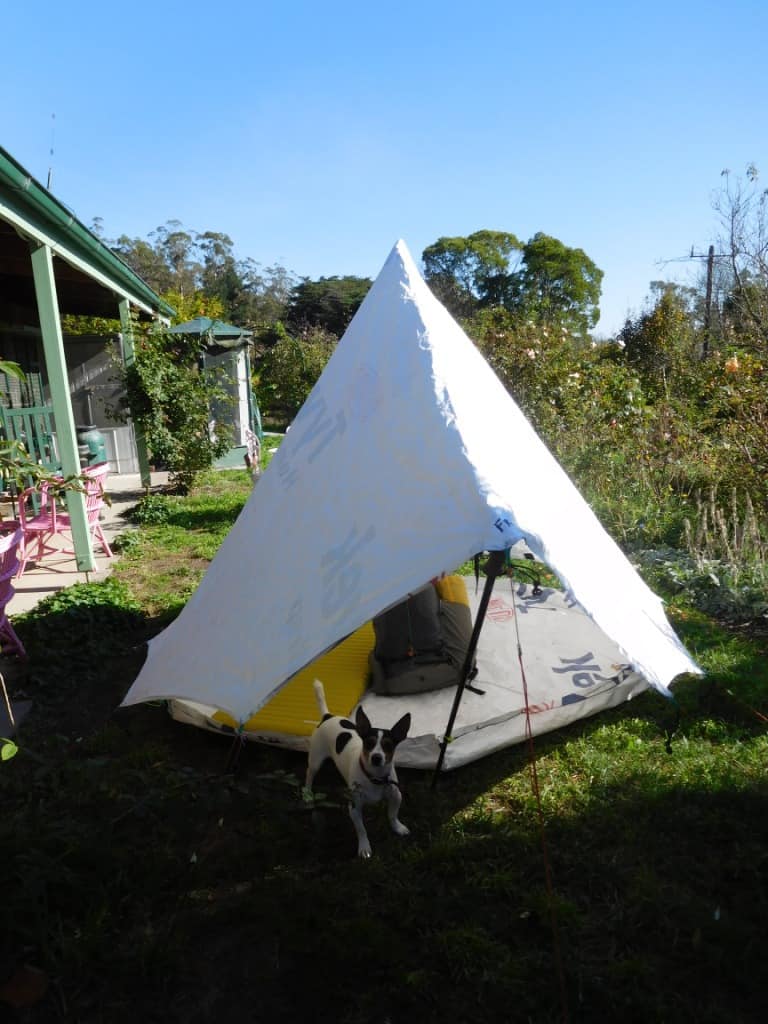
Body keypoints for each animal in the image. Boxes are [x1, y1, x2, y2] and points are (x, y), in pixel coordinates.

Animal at [309, 684, 415, 860]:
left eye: (388, 745)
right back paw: (307, 793)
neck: (374, 777)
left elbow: (392, 815)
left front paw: (397, 827)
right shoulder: (354, 808)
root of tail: (327, 716)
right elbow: (361, 830)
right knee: (309, 776)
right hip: (315, 761)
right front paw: (364, 847)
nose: (376, 757)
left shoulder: (396, 796)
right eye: (369, 743)